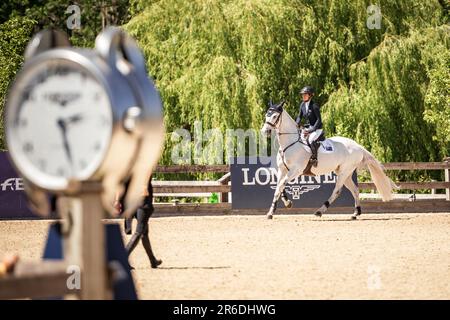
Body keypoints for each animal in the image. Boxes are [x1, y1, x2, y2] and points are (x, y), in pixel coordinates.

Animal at [260, 101, 398, 219]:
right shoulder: (282, 170)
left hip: (344, 172)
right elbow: (279, 187)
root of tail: (357, 146)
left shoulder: (296, 170)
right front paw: (281, 206)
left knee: (337, 191)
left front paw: (276, 210)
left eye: (275, 116)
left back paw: (320, 211)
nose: (265, 131)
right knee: (355, 189)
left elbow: (280, 186)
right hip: (345, 173)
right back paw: (355, 213)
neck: (290, 143)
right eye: (267, 115)